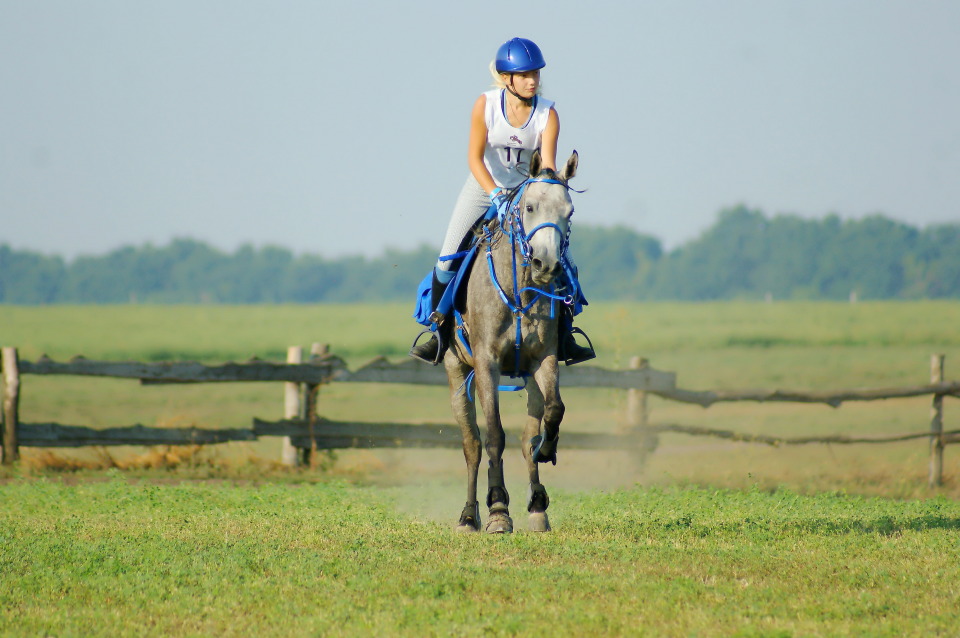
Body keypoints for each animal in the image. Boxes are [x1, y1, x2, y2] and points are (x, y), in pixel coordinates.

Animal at [444, 150, 576, 536]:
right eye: (529, 207)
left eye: (569, 212)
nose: (546, 264)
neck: (520, 289)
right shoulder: (486, 364)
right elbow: (493, 435)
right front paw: (498, 509)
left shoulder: (543, 359)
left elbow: (554, 411)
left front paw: (547, 451)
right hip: (457, 374)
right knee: (472, 443)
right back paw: (468, 516)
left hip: (528, 379)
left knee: (528, 433)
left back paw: (537, 506)